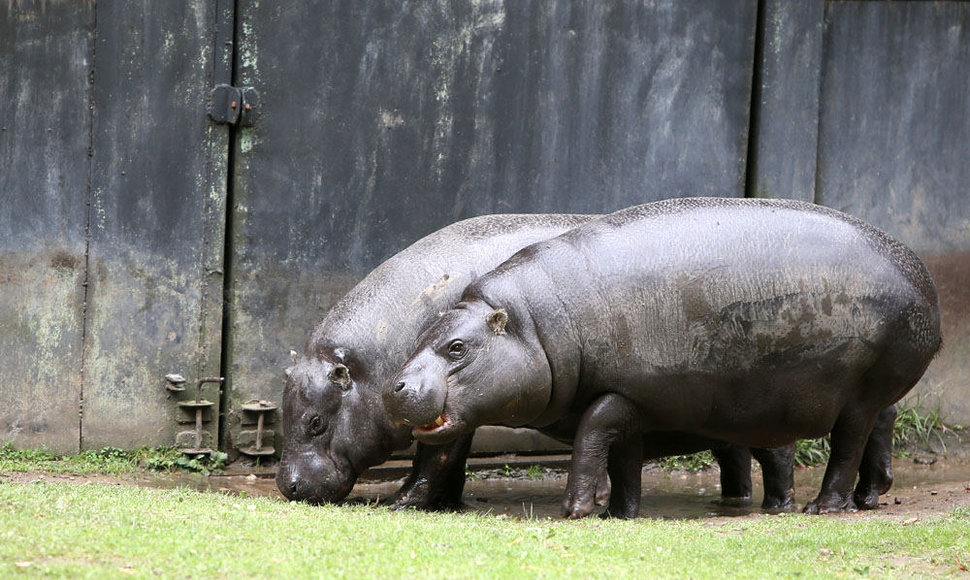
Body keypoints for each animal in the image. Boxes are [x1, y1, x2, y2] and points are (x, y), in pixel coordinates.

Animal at [386, 197, 936, 520]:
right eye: (425, 331)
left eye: (457, 347)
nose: (395, 386)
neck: (532, 328)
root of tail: (922, 276)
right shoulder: (632, 400)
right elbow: (622, 457)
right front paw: (621, 513)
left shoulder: (617, 394)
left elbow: (591, 440)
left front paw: (578, 509)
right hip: (862, 393)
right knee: (879, 425)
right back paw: (870, 495)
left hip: (858, 393)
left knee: (847, 445)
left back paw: (824, 508)